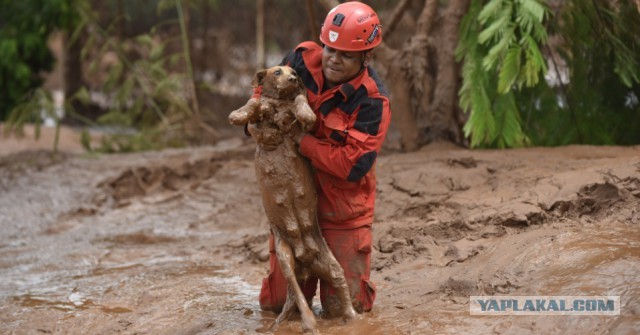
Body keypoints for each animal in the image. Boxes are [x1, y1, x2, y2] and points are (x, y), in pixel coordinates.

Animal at [228, 66, 356, 334]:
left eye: (294, 71)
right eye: (277, 71)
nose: (294, 78)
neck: (279, 102)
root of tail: (306, 263)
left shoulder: (297, 105)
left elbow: (300, 101)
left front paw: (306, 114)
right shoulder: (262, 107)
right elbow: (254, 102)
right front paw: (239, 114)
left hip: (332, 264)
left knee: (338, 287)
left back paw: (347, 318)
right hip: (285, 257)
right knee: (297, 293)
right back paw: (309, 321)